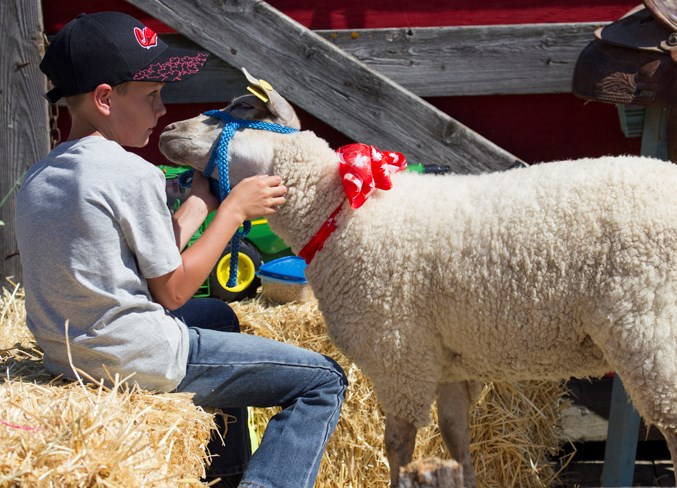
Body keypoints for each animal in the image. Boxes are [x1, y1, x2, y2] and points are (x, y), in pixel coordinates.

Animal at [160, 82, 676, 486]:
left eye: (243, 108)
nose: (167, 131)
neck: (341, 211)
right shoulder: (444, 361)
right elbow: (456, 443)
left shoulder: (398, 354)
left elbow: (399, 446)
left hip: (652, 334)